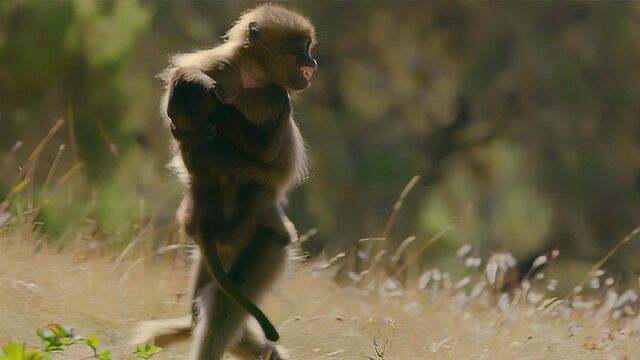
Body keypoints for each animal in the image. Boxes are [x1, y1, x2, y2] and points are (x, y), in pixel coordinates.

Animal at [133, 3, 318, 360]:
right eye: (302, 47)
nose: (312, 61)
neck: (251, 74)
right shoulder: (213, 66)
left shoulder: (279, 98)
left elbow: (270, 161)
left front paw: (219, 115)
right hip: (213, 252)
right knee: (209, 304)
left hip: (268, 240)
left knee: (224, 302)